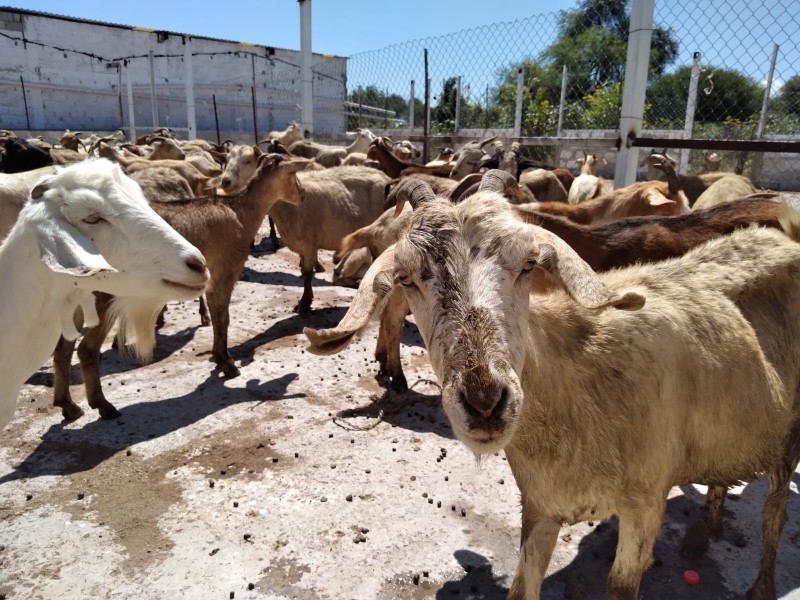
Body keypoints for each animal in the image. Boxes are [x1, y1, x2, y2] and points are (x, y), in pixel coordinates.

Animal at [304, 171, 800, 596]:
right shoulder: (540, 507)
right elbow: (522, 587)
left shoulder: (645, 507)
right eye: (407, 278)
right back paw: (703, 532)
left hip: (788, 436)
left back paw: (760, 585)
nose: (485, 401)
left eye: (528, 265)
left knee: (774, 512)